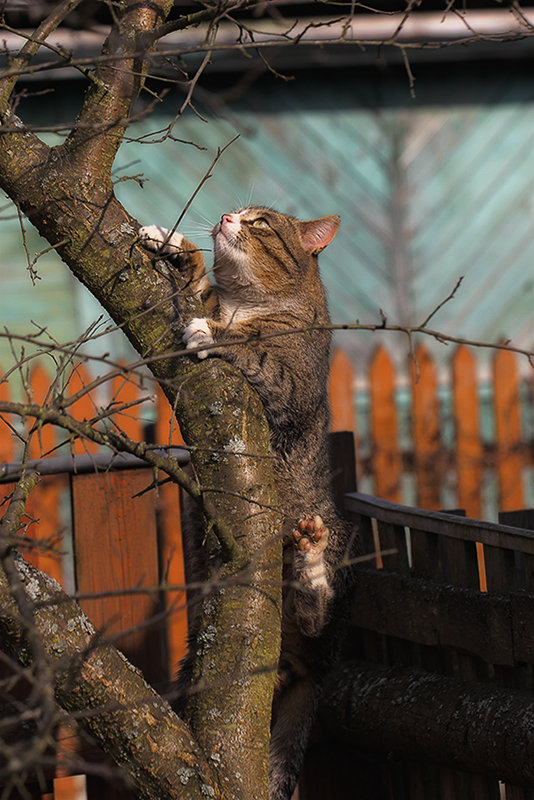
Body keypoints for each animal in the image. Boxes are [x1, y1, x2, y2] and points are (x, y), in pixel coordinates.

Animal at [140, 209, 356, 800]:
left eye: (262, 222)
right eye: (241, 213)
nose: (226, 216)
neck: (247, 303)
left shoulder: (290, 381)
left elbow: (250, 349)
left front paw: (210, 333)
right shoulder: (212, 299)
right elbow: (196, 289)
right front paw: (173, 246)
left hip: (326, 544)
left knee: (316, 614)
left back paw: (311, 563)